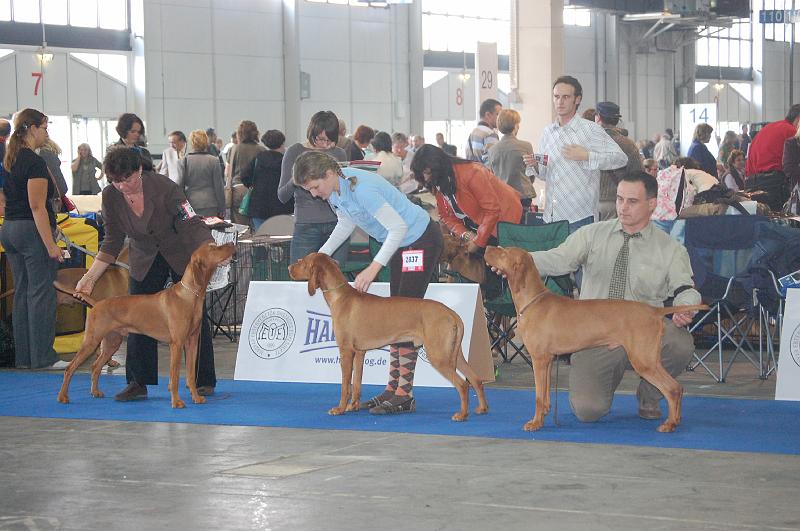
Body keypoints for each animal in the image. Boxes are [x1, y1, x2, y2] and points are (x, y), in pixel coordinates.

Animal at [56, 243, 234, 410]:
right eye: (213, 248)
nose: (232, 244)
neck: (190, 295)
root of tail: (97, 303)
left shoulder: (192, 342)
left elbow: (190, 374)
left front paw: (196, 397)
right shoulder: (176, 344)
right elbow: (175, 376)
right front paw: (176, 402)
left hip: (112, 342)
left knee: (95, 366)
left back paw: (95, 392)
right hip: (92, 341)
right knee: (70, 368)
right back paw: (63, 397)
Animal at [288, 251, 488, 422]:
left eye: (302, 261)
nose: (289, 267)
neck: (340, 296)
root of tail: (451, 313)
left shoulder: (345, 351)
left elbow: (345, 385)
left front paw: (340, 409)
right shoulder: (359, 352)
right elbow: (357, 383)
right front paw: (354, 406)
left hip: (438, 356)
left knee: (463, 384)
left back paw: (462, 415)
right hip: (454, 353)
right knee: (476, 379)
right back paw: (482, 408)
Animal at [482, 247, 708, 434]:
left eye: (504, 252)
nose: (487, 247)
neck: (534, 300)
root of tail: (654, 310)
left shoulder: (538, 359)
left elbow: (538, 396)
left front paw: (535, 423)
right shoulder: (547, 360)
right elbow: (544, 396)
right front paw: (543, 416)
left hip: (644, 361)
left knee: (672, 388)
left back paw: (669, 424)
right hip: (648, 359)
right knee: (677, 388)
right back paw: (676, 420)